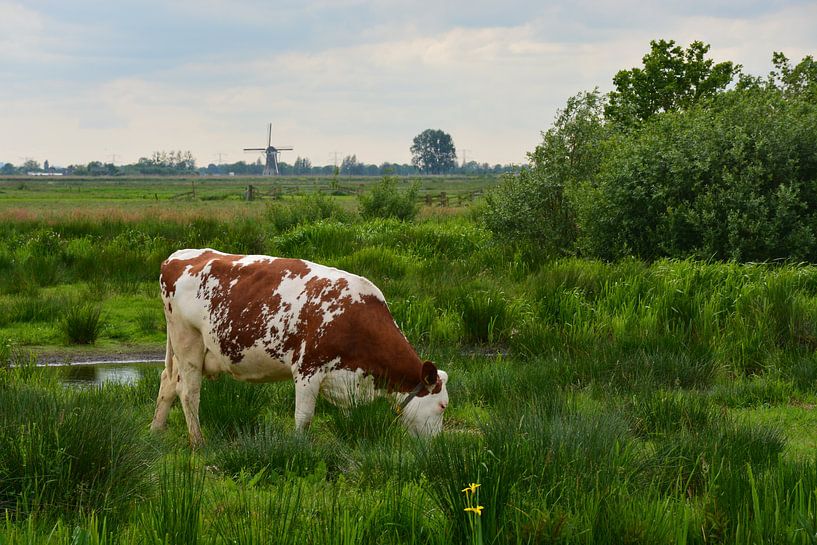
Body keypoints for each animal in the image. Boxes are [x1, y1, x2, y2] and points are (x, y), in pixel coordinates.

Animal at [150, 249, 450, 444]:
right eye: (442, 406)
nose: (436, 447)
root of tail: (177, 256)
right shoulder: (308, 369)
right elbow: (303, 417)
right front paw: (298, 447)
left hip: (183, 350)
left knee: (168, 382)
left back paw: (156, 431)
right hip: (187, 342)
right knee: (188, 392)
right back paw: (198, 442)